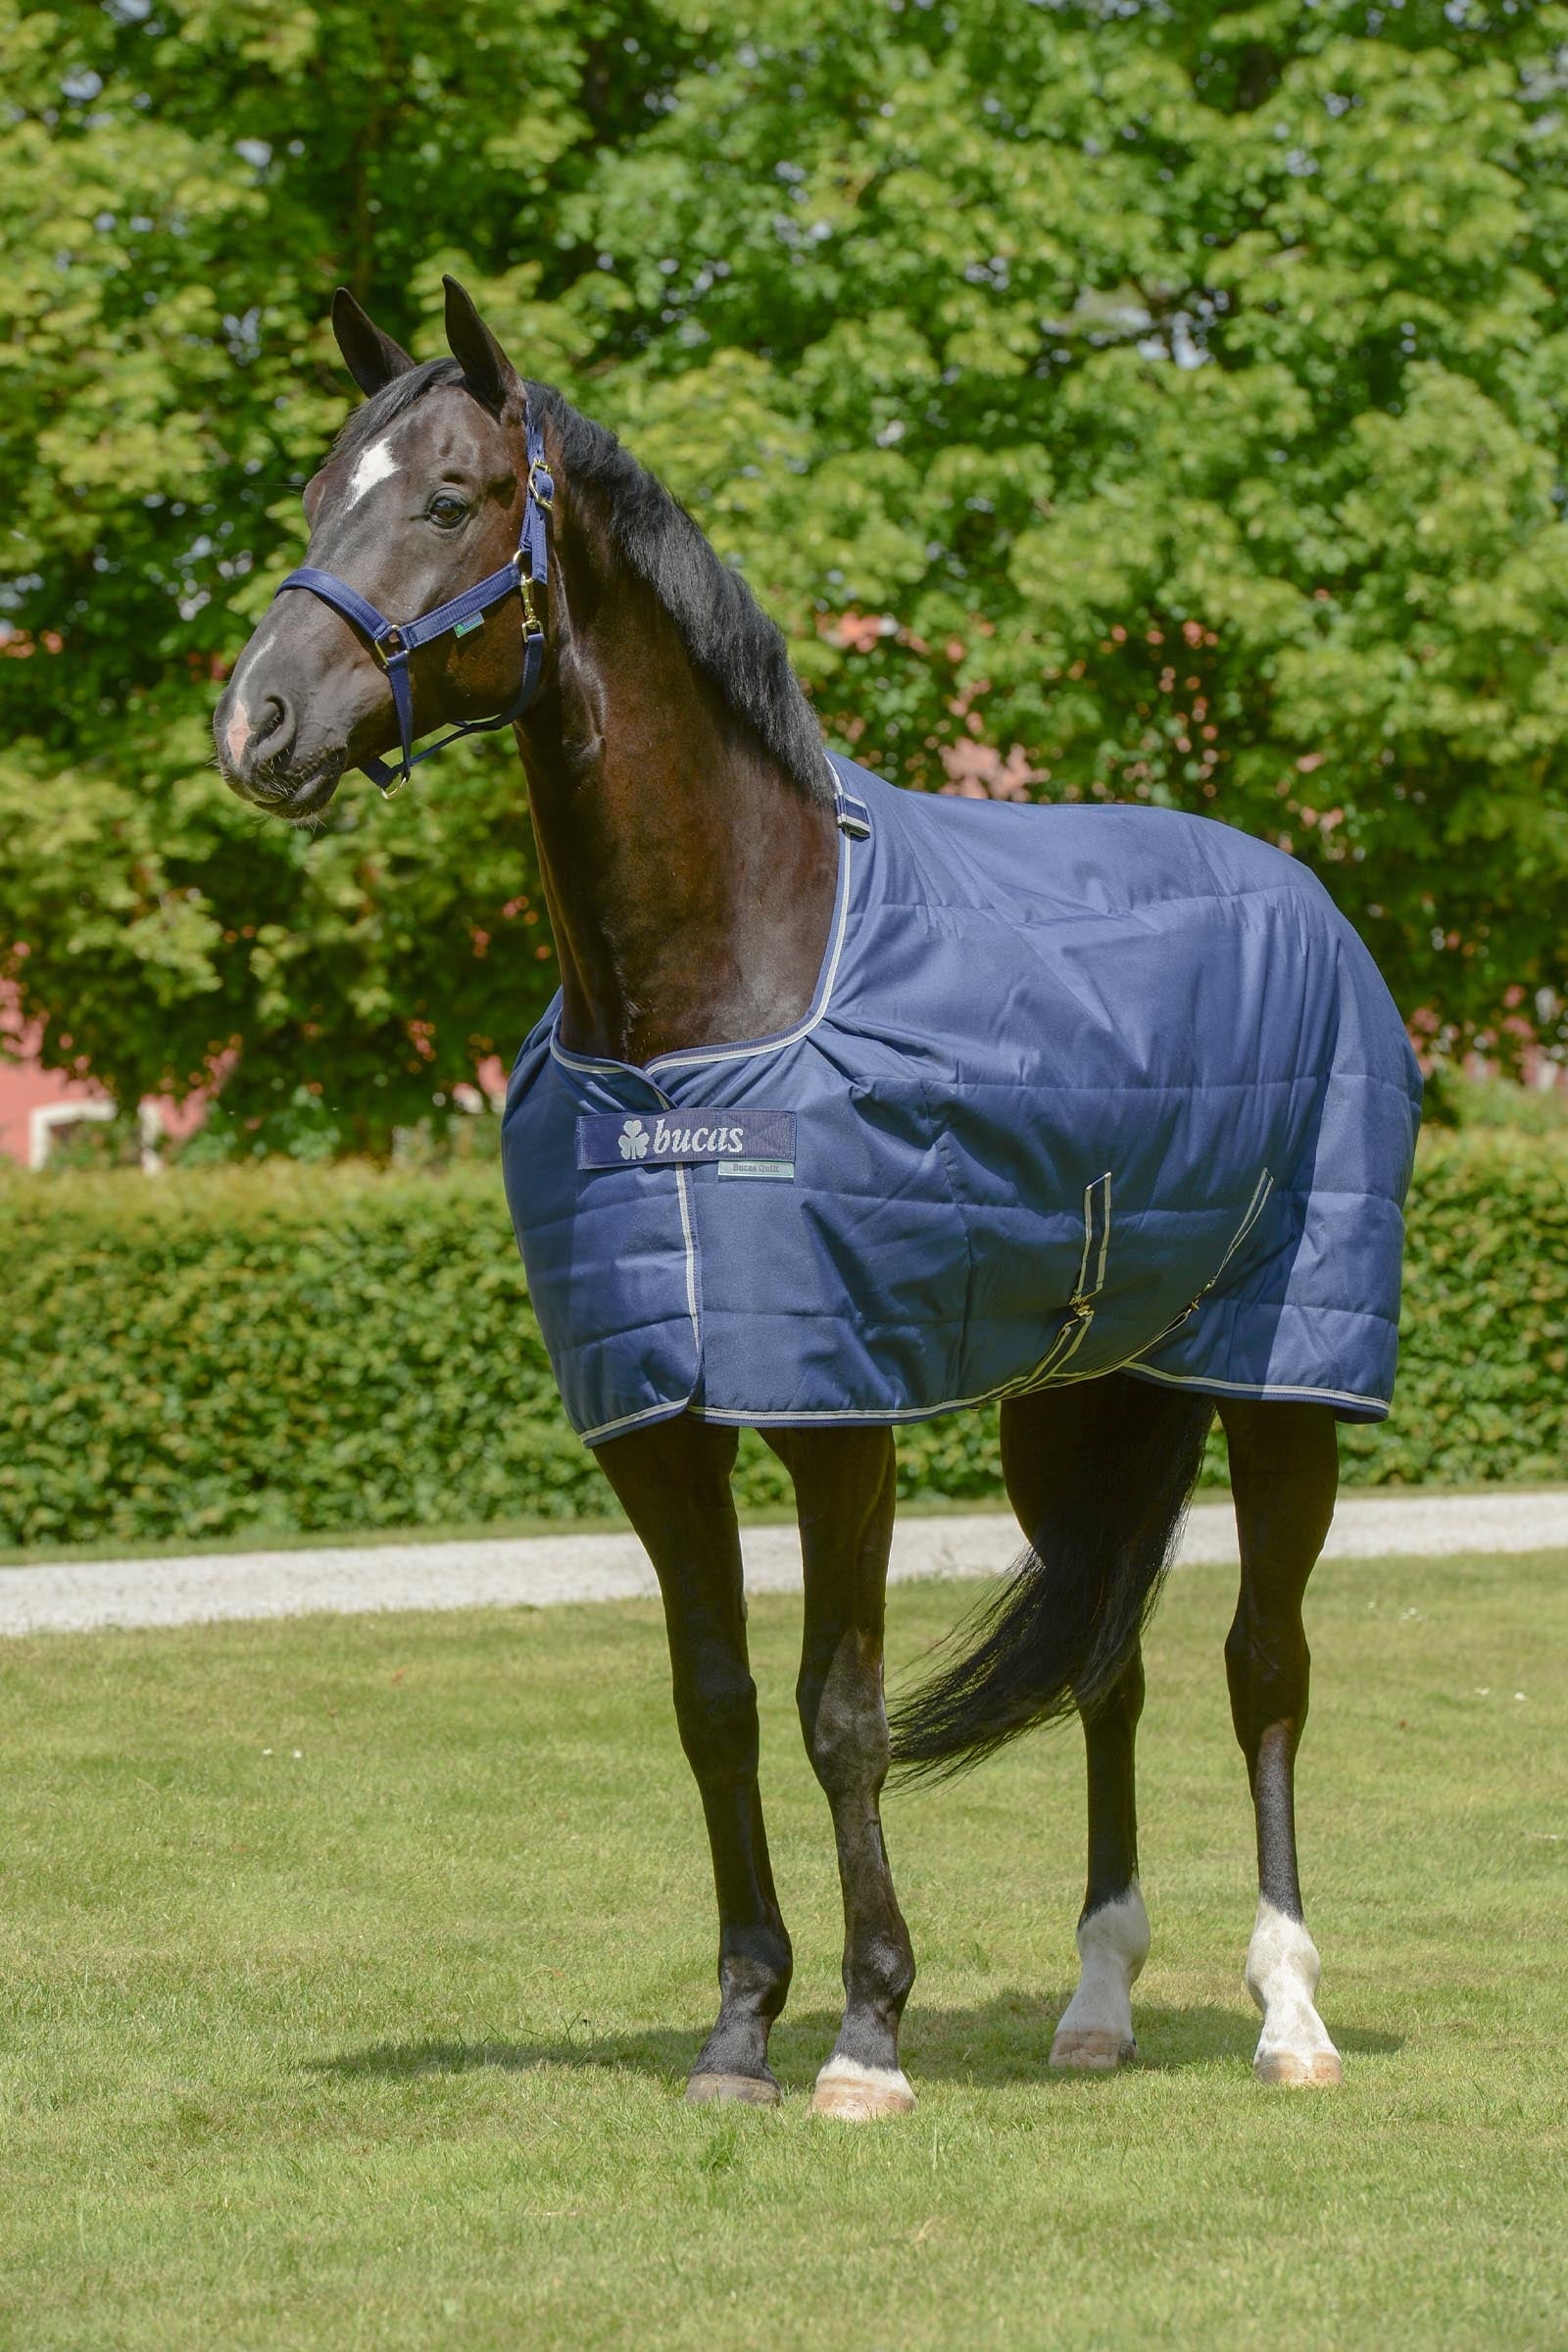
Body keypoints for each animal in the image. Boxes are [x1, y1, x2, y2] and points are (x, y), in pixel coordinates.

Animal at [215, 281, 1421, 2120]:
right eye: (308, 499)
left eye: (447, 499)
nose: (257, 724)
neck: (705, 1021)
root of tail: (1302, 889)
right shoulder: (659, 1423)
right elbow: (714, 1704)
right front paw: (738, 2032)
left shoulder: (839, 1415)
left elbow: (837, 1708)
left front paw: (865, 2037)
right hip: (1080, 1403)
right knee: (1111, 1664)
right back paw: (1098, 2005)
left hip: (1287, 1384)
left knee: (1260, 1668)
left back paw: (1291, 2012)